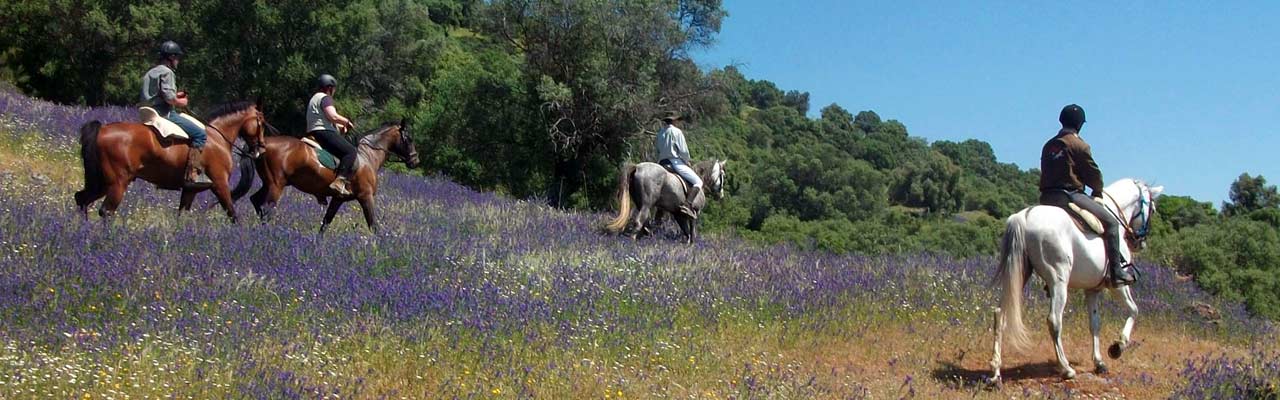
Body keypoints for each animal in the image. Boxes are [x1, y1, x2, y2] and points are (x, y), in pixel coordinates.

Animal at [73, 98, 268, 220]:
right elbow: (232, 213)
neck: (216, 137)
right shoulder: (220, 184)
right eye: (261, 121)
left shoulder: (190, 189)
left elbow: (182, 215)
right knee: (106, 211)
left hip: (102, 182)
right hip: (117, 183)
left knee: (82, 199)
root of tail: (102, 129)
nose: (261, 148)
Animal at [240, 121, 419, 234]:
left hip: (268, 183)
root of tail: (263, 144)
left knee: (255, 201)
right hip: (276, 185)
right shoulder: (366, 197)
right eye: (409, 139)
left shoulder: (338, 199)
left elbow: (326, 222)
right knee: (266, 209)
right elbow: (373, 225)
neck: (367, 157)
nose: (415, 160)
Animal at [988, 178, 1162, 382]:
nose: (1140, 243)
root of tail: (1023, 217)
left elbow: (1094, 324)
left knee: (1001, 314)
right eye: (1153, 209)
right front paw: (1117, 347)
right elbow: (1134, 310)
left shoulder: (1092, 290)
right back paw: (1066, 368)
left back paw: (996, 372)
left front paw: (1099, 362)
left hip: (1018, 276)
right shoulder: (1118, 286)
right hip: (1058, 282)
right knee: (1054, 320)